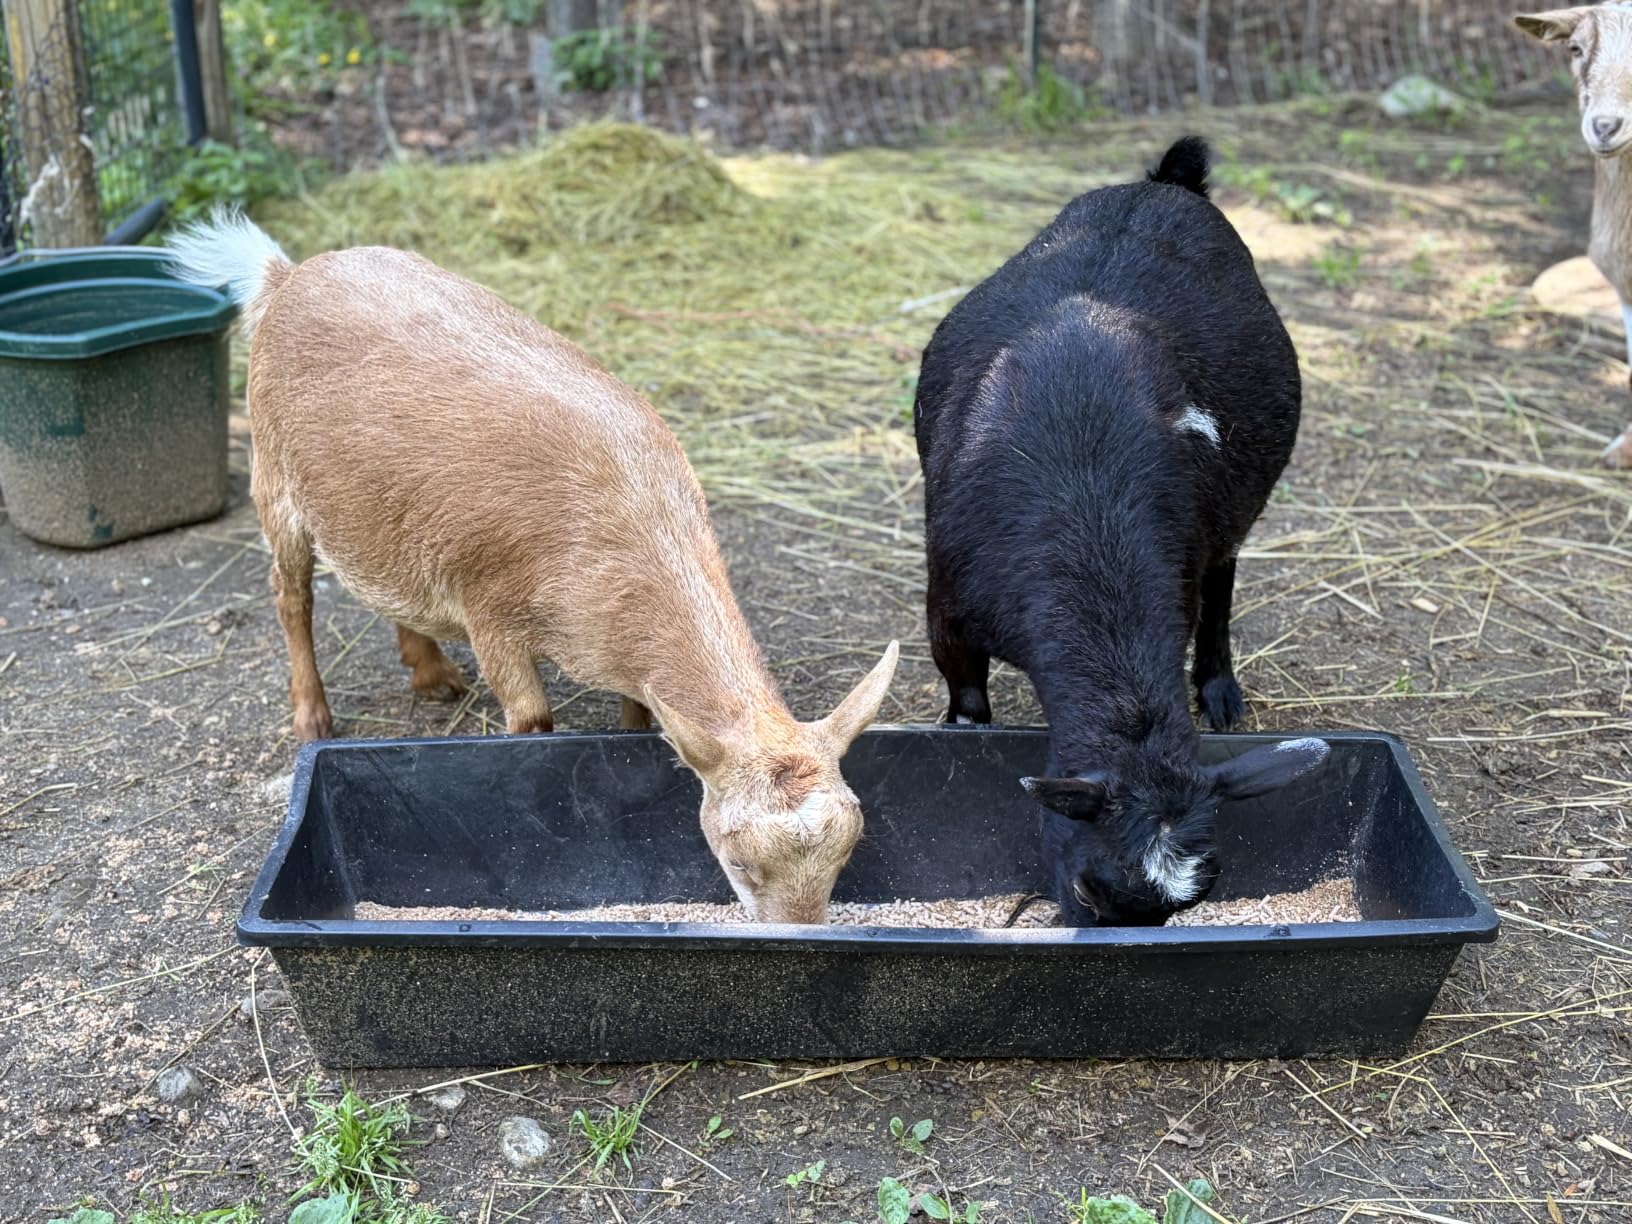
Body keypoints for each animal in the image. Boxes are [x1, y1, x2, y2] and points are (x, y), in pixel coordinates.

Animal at [166, 209, 899, 925]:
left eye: (846, 853)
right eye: (740, 861)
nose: (800, 933)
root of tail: (284, 274)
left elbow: (638, 717)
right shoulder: (492, 612)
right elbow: (532, 725)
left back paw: (431, 673)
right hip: (274, 478)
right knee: (290, 596)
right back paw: (313, 718)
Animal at [912, 137, 1330, 927]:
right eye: (1086, 889)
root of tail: (1167, 184)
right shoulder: (949, 613)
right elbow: (968, 702)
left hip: (1233, 511)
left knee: (1224, 579)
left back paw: (1220, 689)